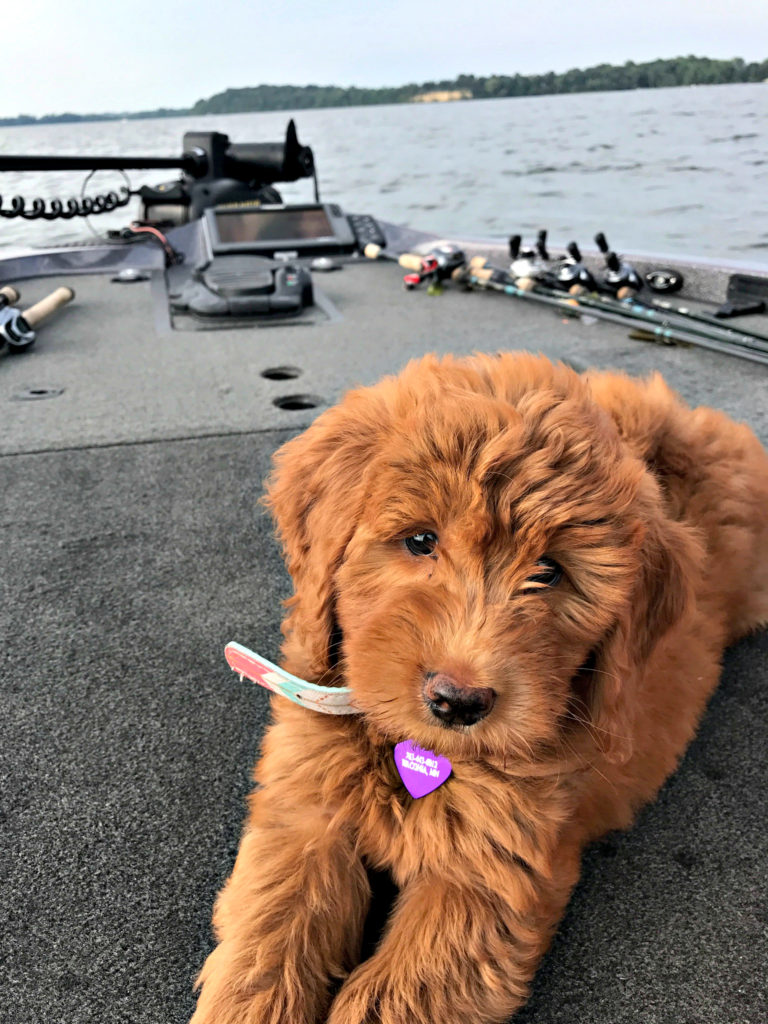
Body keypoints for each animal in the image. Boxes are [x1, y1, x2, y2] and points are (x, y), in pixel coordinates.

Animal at [188, 352, 768, 1024]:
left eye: (549, 571)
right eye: (420, 540)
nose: (457, 702)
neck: (413, 752)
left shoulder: (487, 879)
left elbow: (392, 995)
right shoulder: (304, 811)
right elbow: (272, 928)